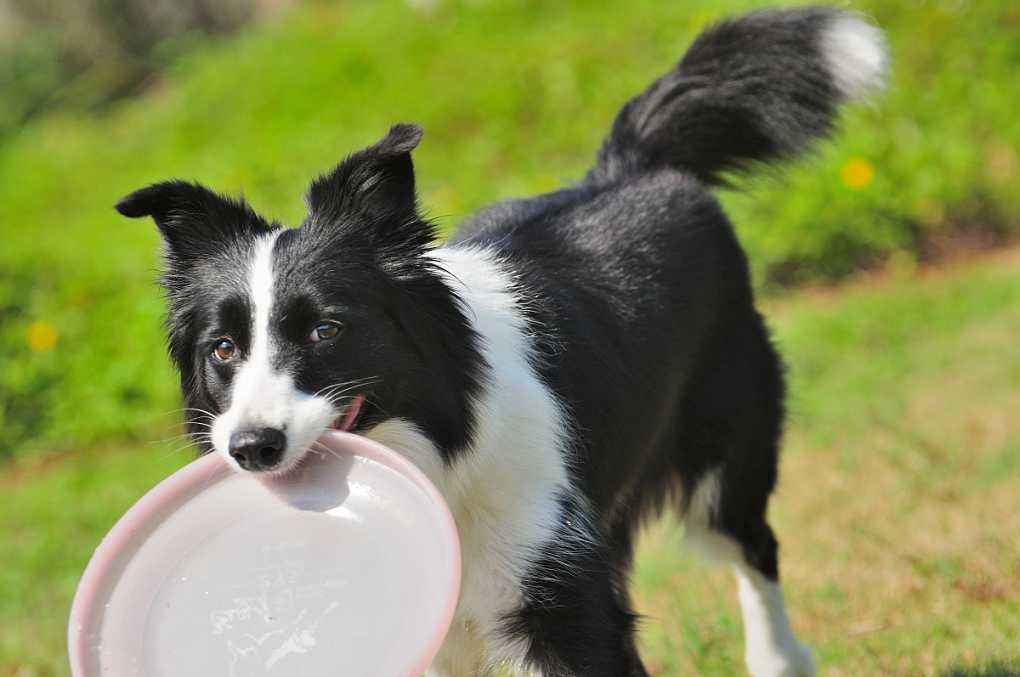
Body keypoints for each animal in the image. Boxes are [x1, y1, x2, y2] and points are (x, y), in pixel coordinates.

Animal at [117, 7, 885, 672]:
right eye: (222, 349)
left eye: (325, 329)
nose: (251, 448)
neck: (440, 447)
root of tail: (631, 164)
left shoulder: (558, 598)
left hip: (725, 446)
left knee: (754, 548)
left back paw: (780, 657)